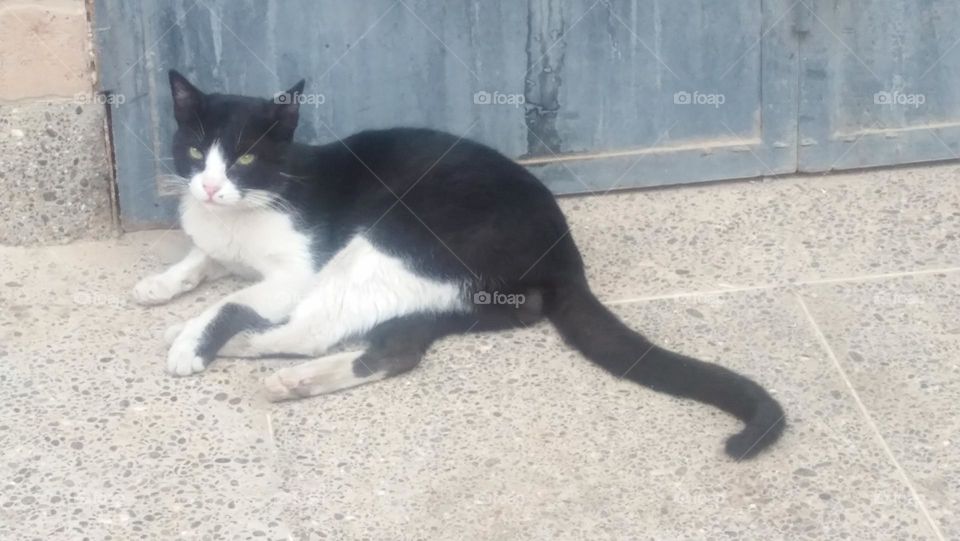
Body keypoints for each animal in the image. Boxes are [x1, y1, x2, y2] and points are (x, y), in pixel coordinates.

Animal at [135, 70, 784, 460]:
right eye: (194, 151)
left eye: (244, 159)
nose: (210, 186)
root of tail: (565, 253)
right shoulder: (216, 240)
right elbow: (202, 258)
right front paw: (161, 284)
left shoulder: (297, 271)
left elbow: (230, 299)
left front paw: (192, 339)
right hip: (455, 294)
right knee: (398, 348)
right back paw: (295, 379)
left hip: (394, 238)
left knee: (313, 330)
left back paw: (234, 346)